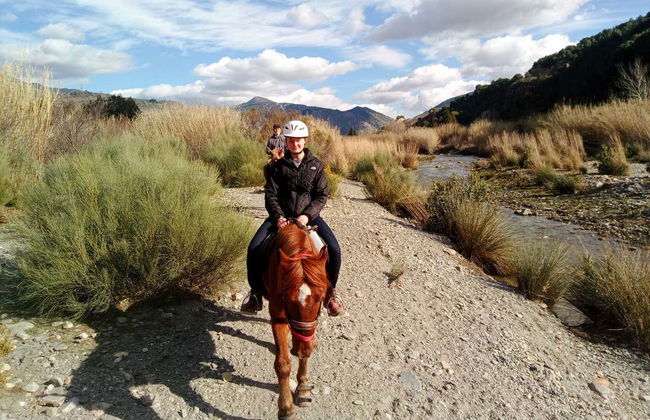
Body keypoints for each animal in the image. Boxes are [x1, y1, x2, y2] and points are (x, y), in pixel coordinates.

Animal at [264, 221, 330, 420]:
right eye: (287, 299)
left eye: (320, 297)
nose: (301, 348)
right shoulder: (277, 314)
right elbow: (283, 363)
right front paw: (285, 407)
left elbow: (307, 351)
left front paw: (303, 387)